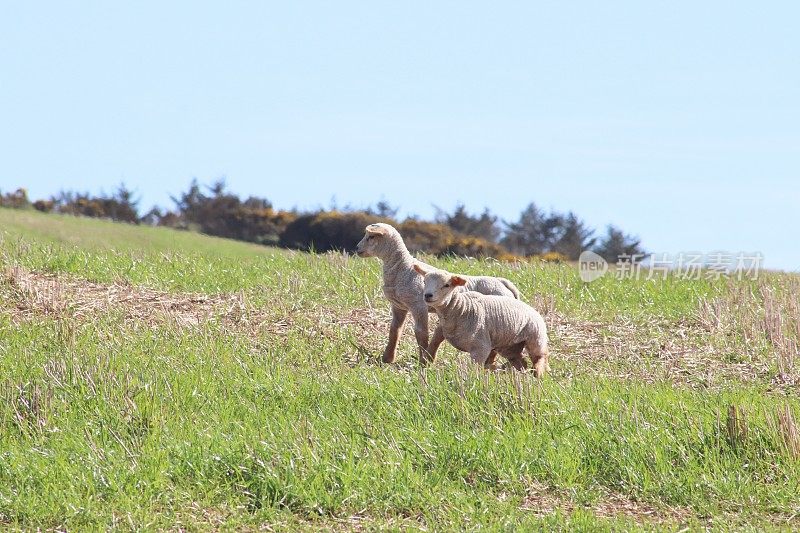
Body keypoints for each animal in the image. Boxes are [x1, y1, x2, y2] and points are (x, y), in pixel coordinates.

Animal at [358, 221, 524, 366]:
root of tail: (503, 283)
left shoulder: (418, 305)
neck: (402, 267)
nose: (357, 248)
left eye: (371, 236)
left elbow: (421, 333)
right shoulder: (399, 306)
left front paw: (422, 361)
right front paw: (387, 358)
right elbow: (394, 331)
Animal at [412, 264, 552, 376]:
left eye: (446, 285)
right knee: (521, 362)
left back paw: (538, 376)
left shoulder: (480, 347)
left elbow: (475, 369)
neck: (461, 308)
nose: (427, 295)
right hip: (509, 344)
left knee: (540, 358)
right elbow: (435, 339)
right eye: (424, 281)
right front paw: (425, 362)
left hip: (535, 338)